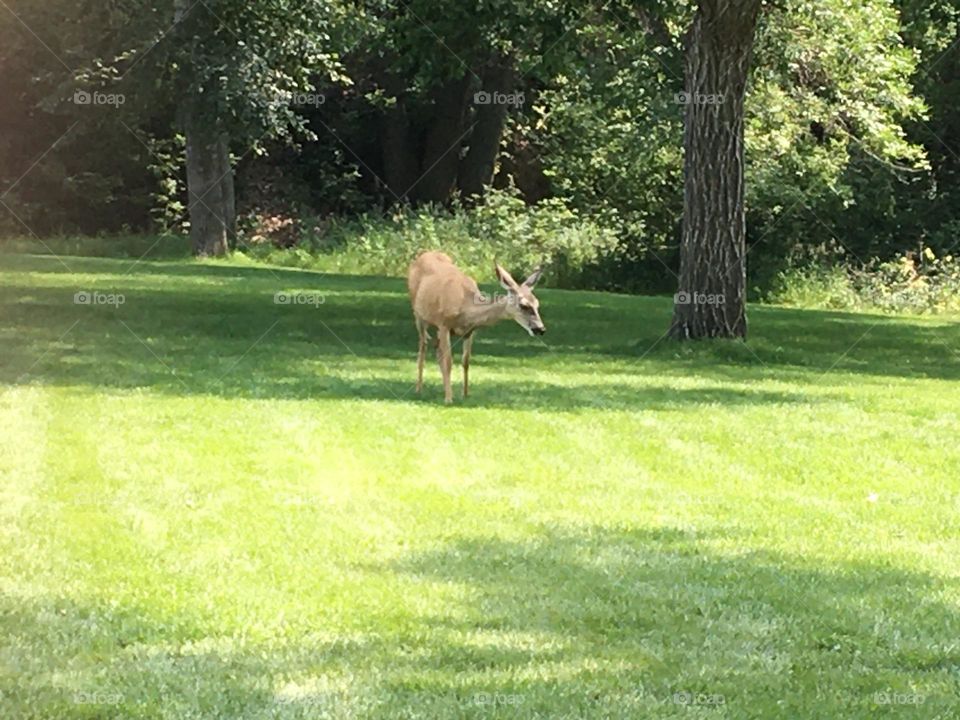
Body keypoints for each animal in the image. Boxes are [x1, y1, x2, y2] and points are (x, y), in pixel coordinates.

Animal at [407, 251, 546, 404]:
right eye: (524, 305)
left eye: (537, 304)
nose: (540, 329)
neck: (466, 308)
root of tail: (423, 254)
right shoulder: (444, 325)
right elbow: (448, 361)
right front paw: (449, 399)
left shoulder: (470, 331)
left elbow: (466, 361)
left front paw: (465, 394)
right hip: (418, 315)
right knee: (423, 347)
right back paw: (419, 389)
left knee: (436, 349)